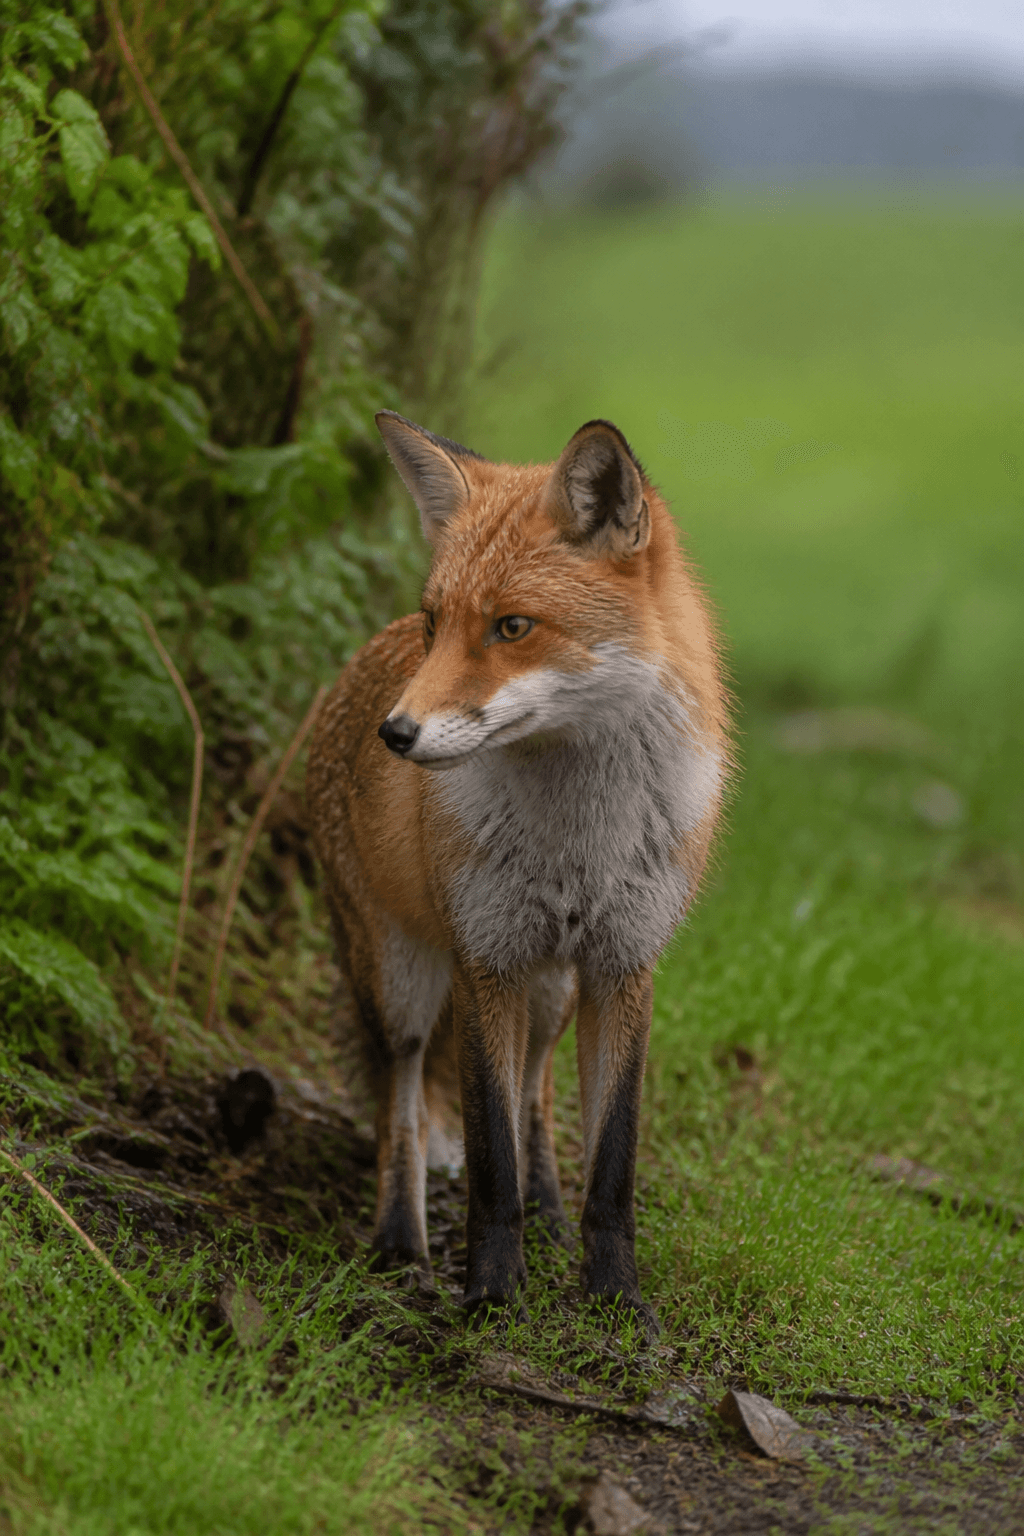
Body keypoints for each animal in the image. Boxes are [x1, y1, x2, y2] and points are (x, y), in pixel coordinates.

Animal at [306, 411, 728, 1327]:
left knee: (534, 1086)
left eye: (511, 627)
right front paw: (492, 1295)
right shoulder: (484, 962)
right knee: (400, 1103)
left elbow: (611, 1163)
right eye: (436, 624)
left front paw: (613, 1299)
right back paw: (400, 1242)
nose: (396, 735)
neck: (579, 838)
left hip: (553, 993)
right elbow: (487, 1155)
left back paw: (550, 1213)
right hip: (403, 981)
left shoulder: (623, 966)